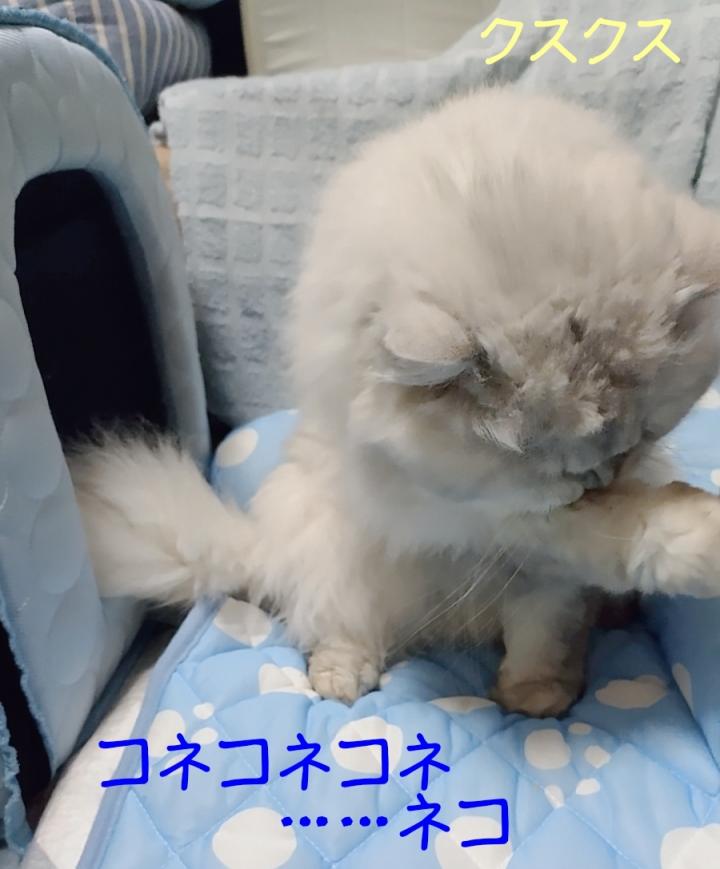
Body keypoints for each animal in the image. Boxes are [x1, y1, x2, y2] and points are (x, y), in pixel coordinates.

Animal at [69, 88, 720, 717]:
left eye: (643, 437)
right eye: (553, 468)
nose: (602, 479)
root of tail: (264, 550)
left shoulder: (536, 553)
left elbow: (577, 589)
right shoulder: (489, 515)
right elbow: (622, 531)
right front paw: (699, 535)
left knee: (540, 637)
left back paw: (539, 698)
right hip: (335, 557)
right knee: (340, 631)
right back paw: (342, 681)